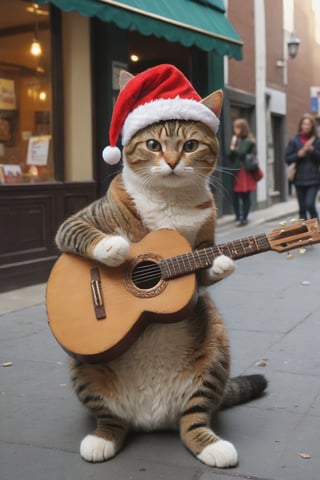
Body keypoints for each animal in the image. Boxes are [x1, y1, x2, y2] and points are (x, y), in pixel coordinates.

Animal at [55, 69, 268, 466]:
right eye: (153, 145)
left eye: (190, 146)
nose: (170, 162)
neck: (170, 202)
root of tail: (150, 418)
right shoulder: (80, 220)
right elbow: (79, 232)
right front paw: (115, 247)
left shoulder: (201, 243)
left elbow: (204, 267)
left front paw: (222, 261)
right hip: (84, 368)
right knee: (110, 418)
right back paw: (102, 439)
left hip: (215, 349)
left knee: (193, 420)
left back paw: (212, 445)